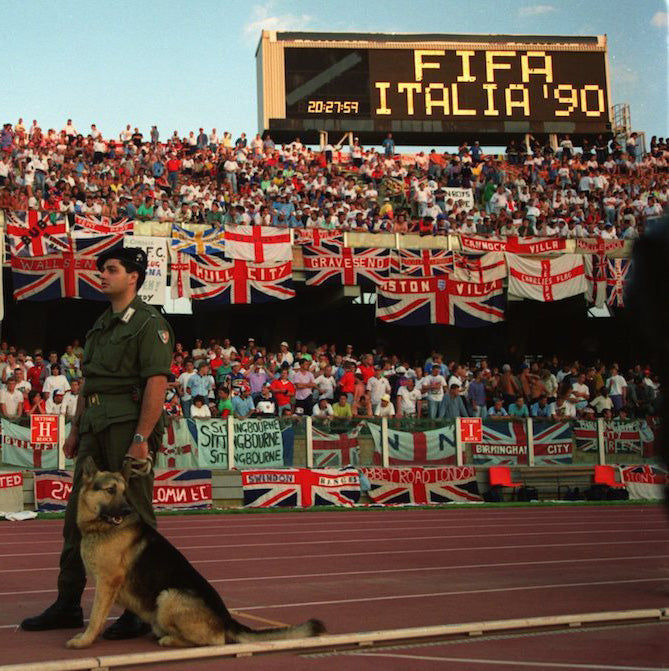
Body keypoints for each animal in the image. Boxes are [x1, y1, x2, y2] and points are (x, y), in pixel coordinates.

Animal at [68, 460, 326, 648]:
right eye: (111, 490)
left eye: (124, 492)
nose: (126, 510)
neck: (100, 527)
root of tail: (226, 618)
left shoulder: (107, 583)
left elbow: (96, 617)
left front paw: (84, 640)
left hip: (168, 596)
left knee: (214, 640)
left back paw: (169, 639)